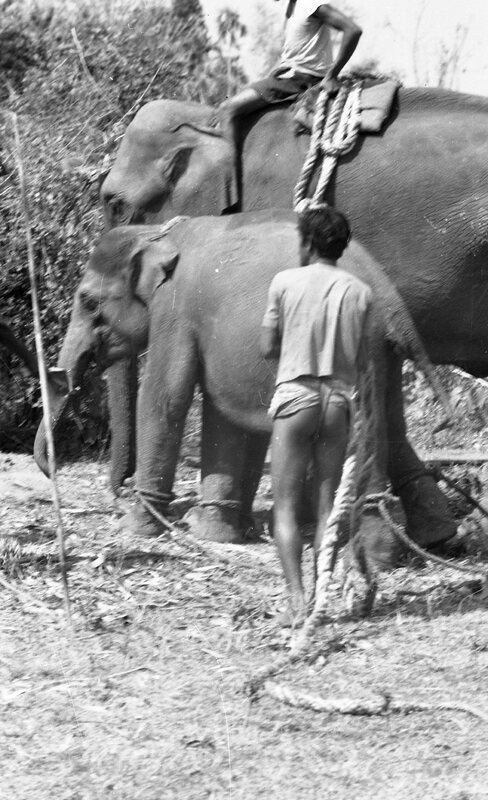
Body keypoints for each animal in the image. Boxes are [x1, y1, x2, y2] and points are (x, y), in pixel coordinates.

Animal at [34, 211, 454, 554]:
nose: (51, 470)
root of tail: (390, 300)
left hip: (353, 349)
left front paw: (137, 528)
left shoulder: (176, 311)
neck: (156, 232)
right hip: (382, 357)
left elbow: (165, 397)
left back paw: (369, 553)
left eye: (89, 302)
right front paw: (218, 532)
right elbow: (225, 412)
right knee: (392, 424)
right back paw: (434, 536)